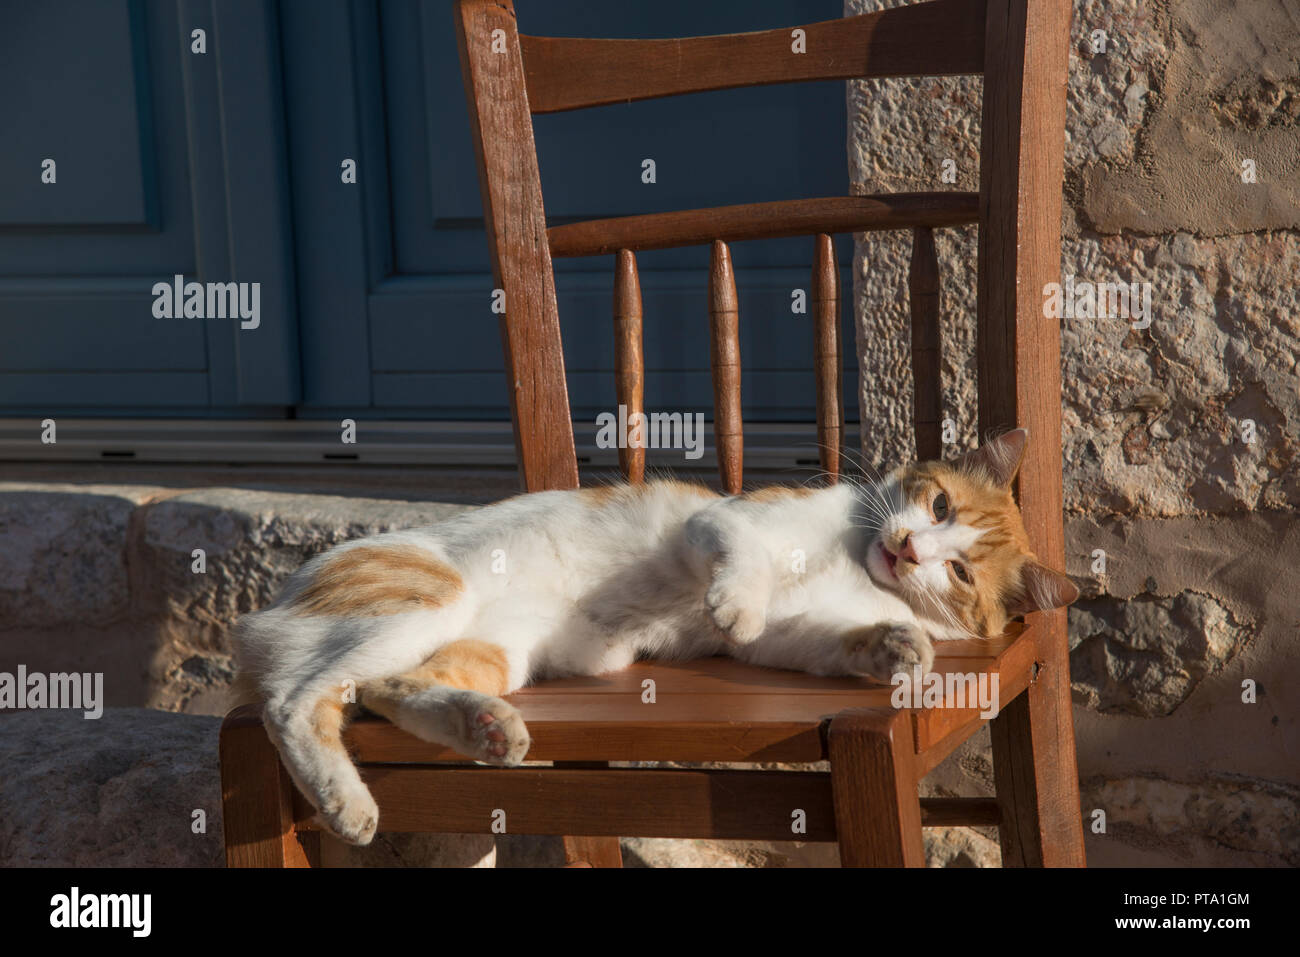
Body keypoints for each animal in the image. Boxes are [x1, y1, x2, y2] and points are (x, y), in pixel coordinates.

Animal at [231, 429, 1076, 842]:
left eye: (960, 571)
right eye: (938, 506)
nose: (907, 550)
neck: (854, 560)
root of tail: (267, 605)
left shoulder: (789, 639)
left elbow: (826, 637)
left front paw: (899, 647)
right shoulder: (723, 521)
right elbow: (743, 563)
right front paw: (736, 599)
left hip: (493, 650)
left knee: (387, 685)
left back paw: (486, 728)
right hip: (425, 600)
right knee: (293, 702)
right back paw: (347, 802)